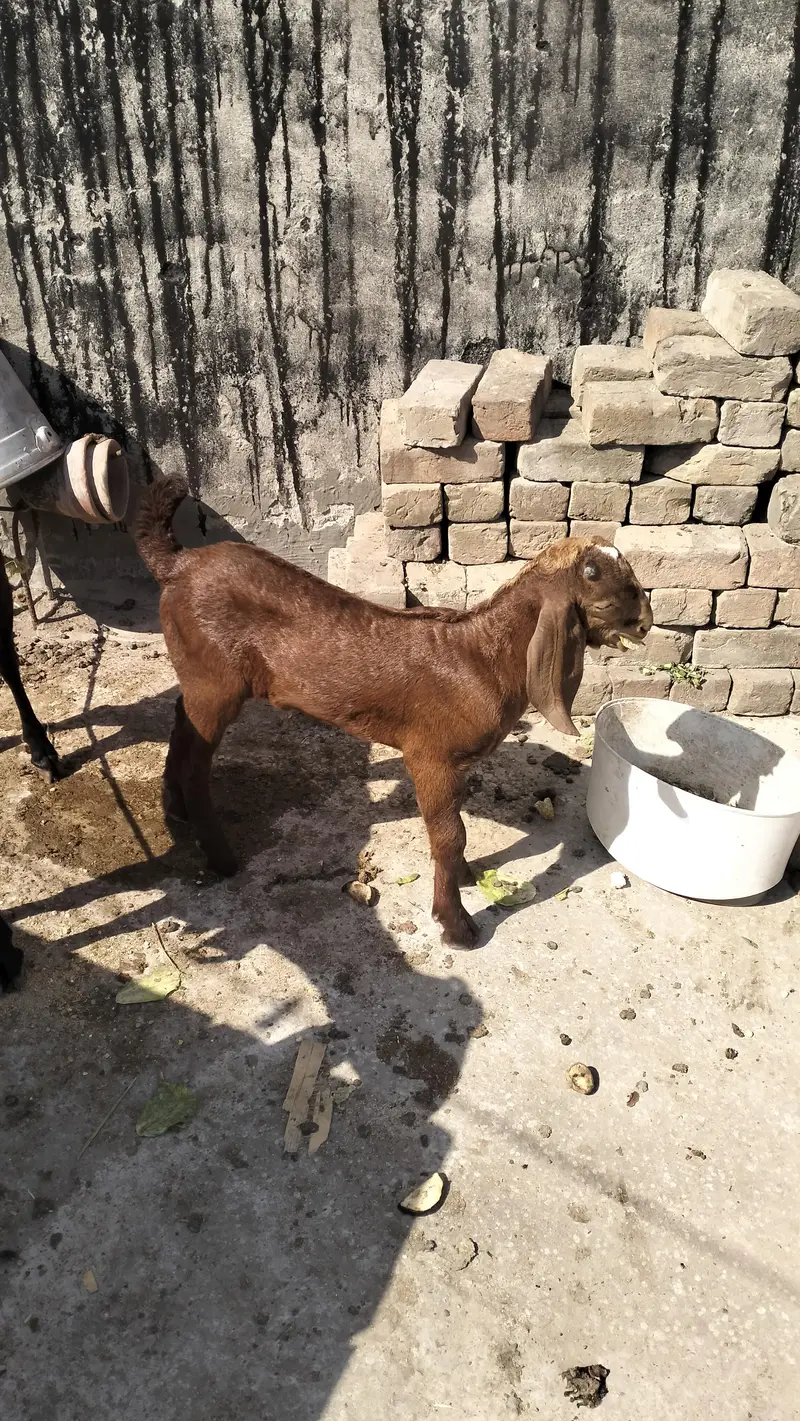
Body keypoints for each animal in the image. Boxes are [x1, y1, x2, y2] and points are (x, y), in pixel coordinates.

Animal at [136, 475, 652, 948]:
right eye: (595, 577)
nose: (646, 623)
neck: (482, 654)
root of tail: (178, 563)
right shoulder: (431, 756)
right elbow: (450, 835)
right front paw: (456, 925)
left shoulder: (455, 763)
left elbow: (454, 829)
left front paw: (463, 877)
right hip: (215, 678)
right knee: (198, 760)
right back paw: (219, 854)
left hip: (197, 675)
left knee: (181, 721)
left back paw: (175, 809)